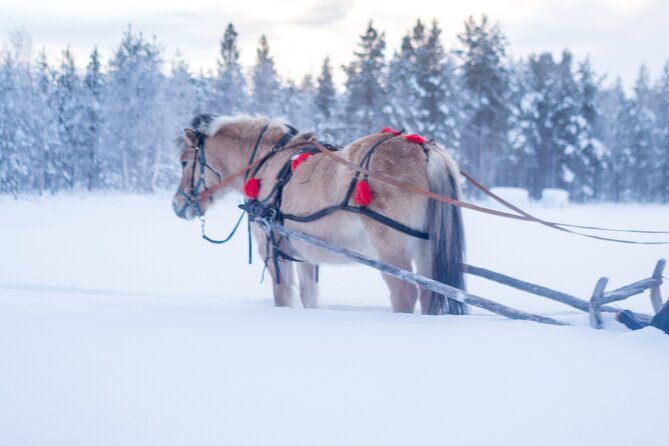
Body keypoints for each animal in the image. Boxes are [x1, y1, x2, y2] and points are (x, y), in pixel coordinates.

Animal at [172, 115, 464, 318]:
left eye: (185, 162)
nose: (177, 205)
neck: (267, 165)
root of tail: (424, 149)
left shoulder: (272, 248)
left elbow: (282, 295)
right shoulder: (304, 255)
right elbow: (308, 297)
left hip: (391, 248)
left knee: (405, 292)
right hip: (426, 248)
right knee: (429, 293)